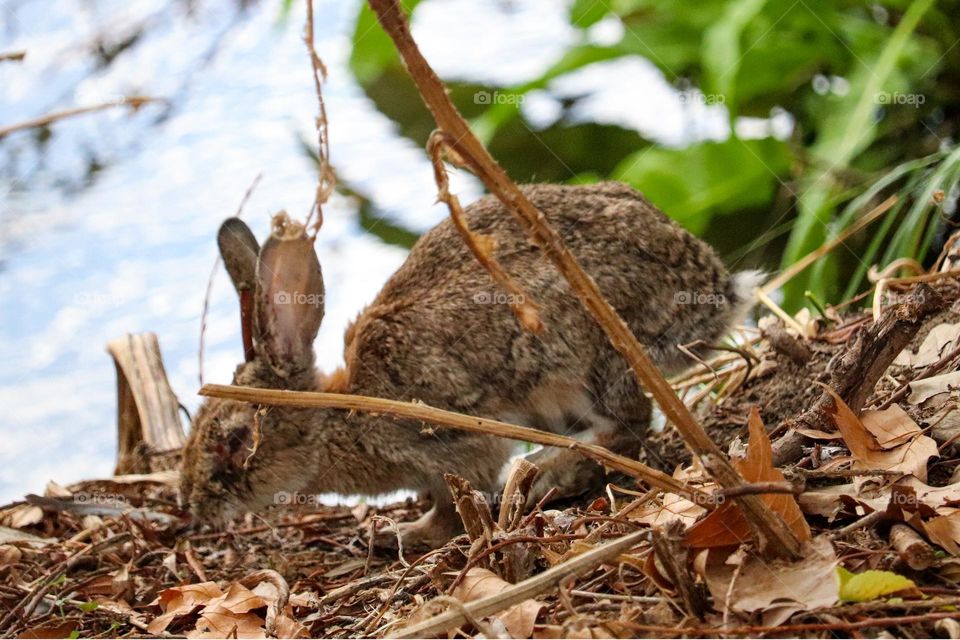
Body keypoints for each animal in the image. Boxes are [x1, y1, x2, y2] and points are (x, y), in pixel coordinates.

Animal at [180, 180, 760, 544]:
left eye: (235, 442)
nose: (194, 506)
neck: (340, 417)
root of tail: (715, 289)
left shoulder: (456, 447)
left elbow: (453, 503)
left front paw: (404, 534)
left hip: (584, 361)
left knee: (628, 428)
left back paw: (547, 477)